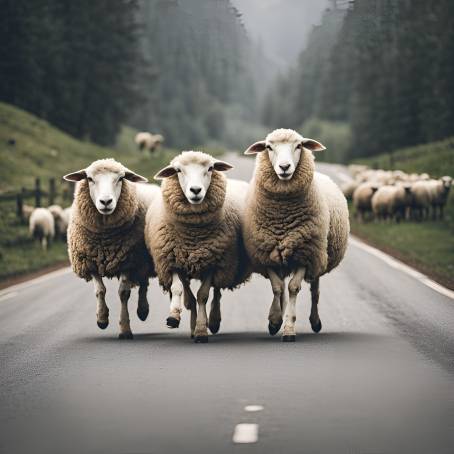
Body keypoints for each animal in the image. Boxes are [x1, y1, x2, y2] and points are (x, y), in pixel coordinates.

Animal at [63, 158, 160, 338]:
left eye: (121, 178)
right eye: (89, 178)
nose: (106, 202)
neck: (104, 240)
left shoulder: (128, 261)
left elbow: (123, 293)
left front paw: (125, 328)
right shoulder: (90, 262)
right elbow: (100, 291)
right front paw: (102, 319)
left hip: (142, 260)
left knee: (143, 284)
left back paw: (143, 310)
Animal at [145, 151, 250, 342]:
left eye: (210, 168)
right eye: (178, 170)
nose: (195, 190)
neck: (192, 237)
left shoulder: (211, 263)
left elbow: (203, 295)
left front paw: (201, 329)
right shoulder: (173, 261)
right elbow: (180, 291)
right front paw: (175, 317)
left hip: (223, 263)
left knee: (217, 291)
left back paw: (214, 321)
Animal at [243, 127, 350, 340]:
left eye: (299, 146)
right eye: (269, 147)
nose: (284, 167)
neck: (282, 217)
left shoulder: (304, 252)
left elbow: (293, 287)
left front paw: (289, 328)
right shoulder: (267, 253)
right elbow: (277, 288)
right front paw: (275, 321)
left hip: (317, 255)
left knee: (315, 291)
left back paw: (315, 322)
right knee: (282, 289)